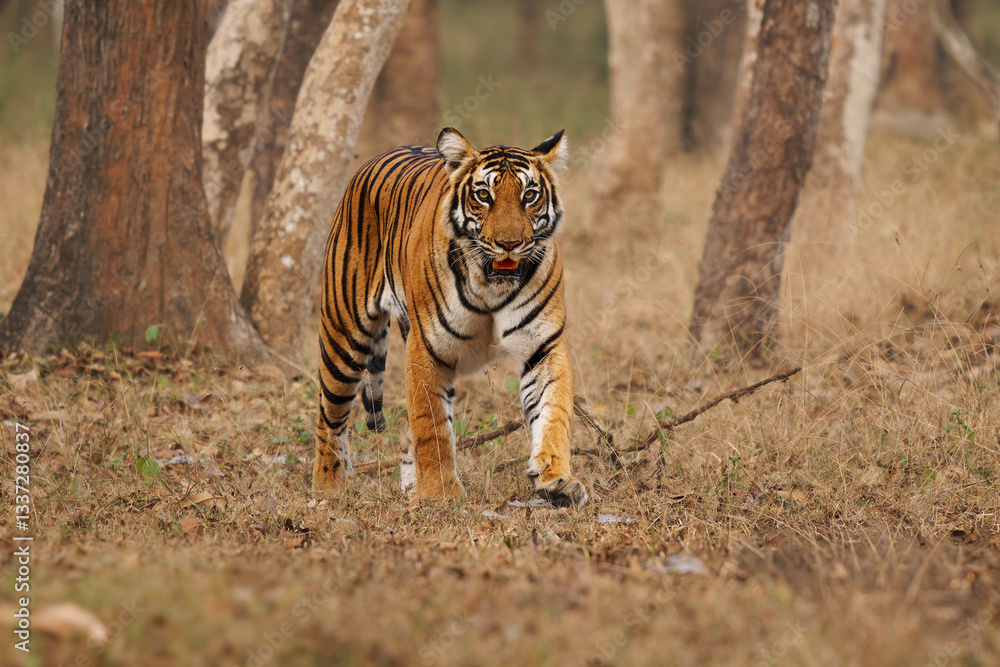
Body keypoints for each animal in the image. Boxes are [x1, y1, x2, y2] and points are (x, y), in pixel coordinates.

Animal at [312, 127, 588, 508]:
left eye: (529, 195)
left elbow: (554, 411)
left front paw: (556, 480)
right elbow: (432, 426)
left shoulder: (543, 346)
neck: (491, 286)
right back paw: (329, 487)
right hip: (343, 336)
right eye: (484, 195)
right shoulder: (428, 349)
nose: (509, 244)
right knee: (330, 415)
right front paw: (440, 492)